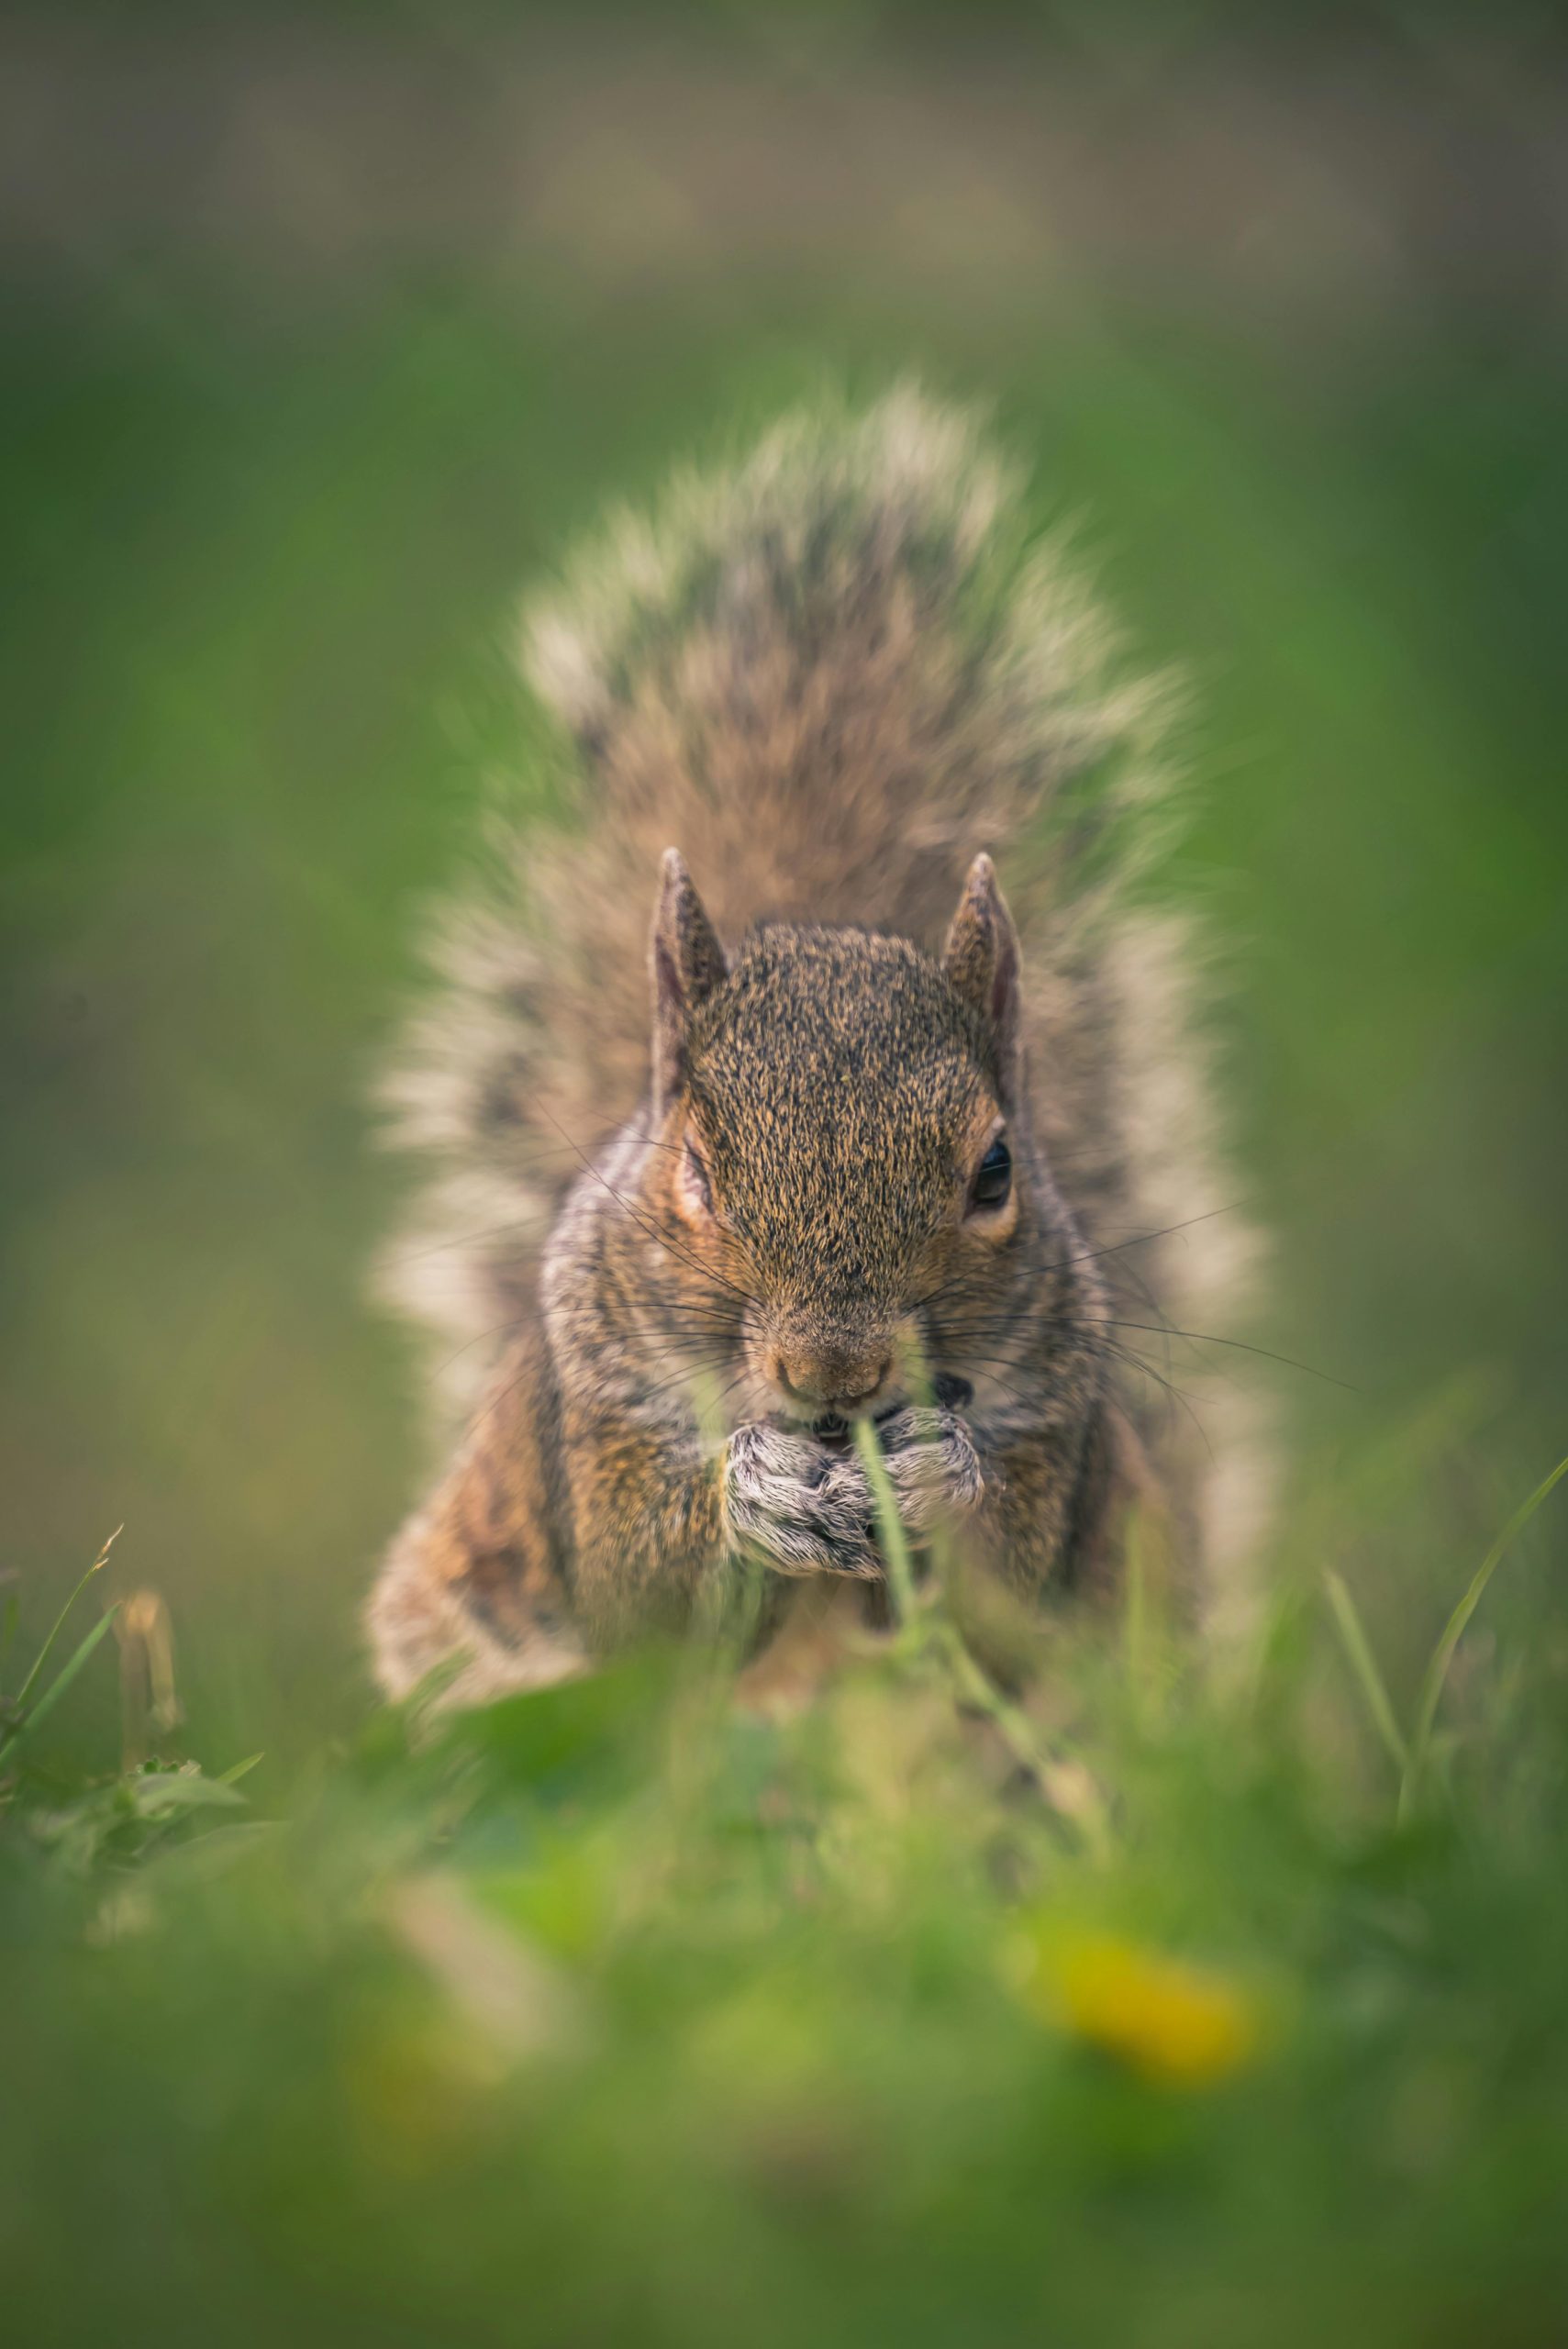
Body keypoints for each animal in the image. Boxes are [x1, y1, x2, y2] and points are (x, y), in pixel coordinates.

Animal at [367, 386, 1271, 1708]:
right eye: (693, 1173)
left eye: (995, 1172)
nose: (832, 1376)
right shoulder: (589, 1413)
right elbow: (639, 1601)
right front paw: (749, 1496)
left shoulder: (1059, 1421)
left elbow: (1010, 1596)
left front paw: (944, 1480)